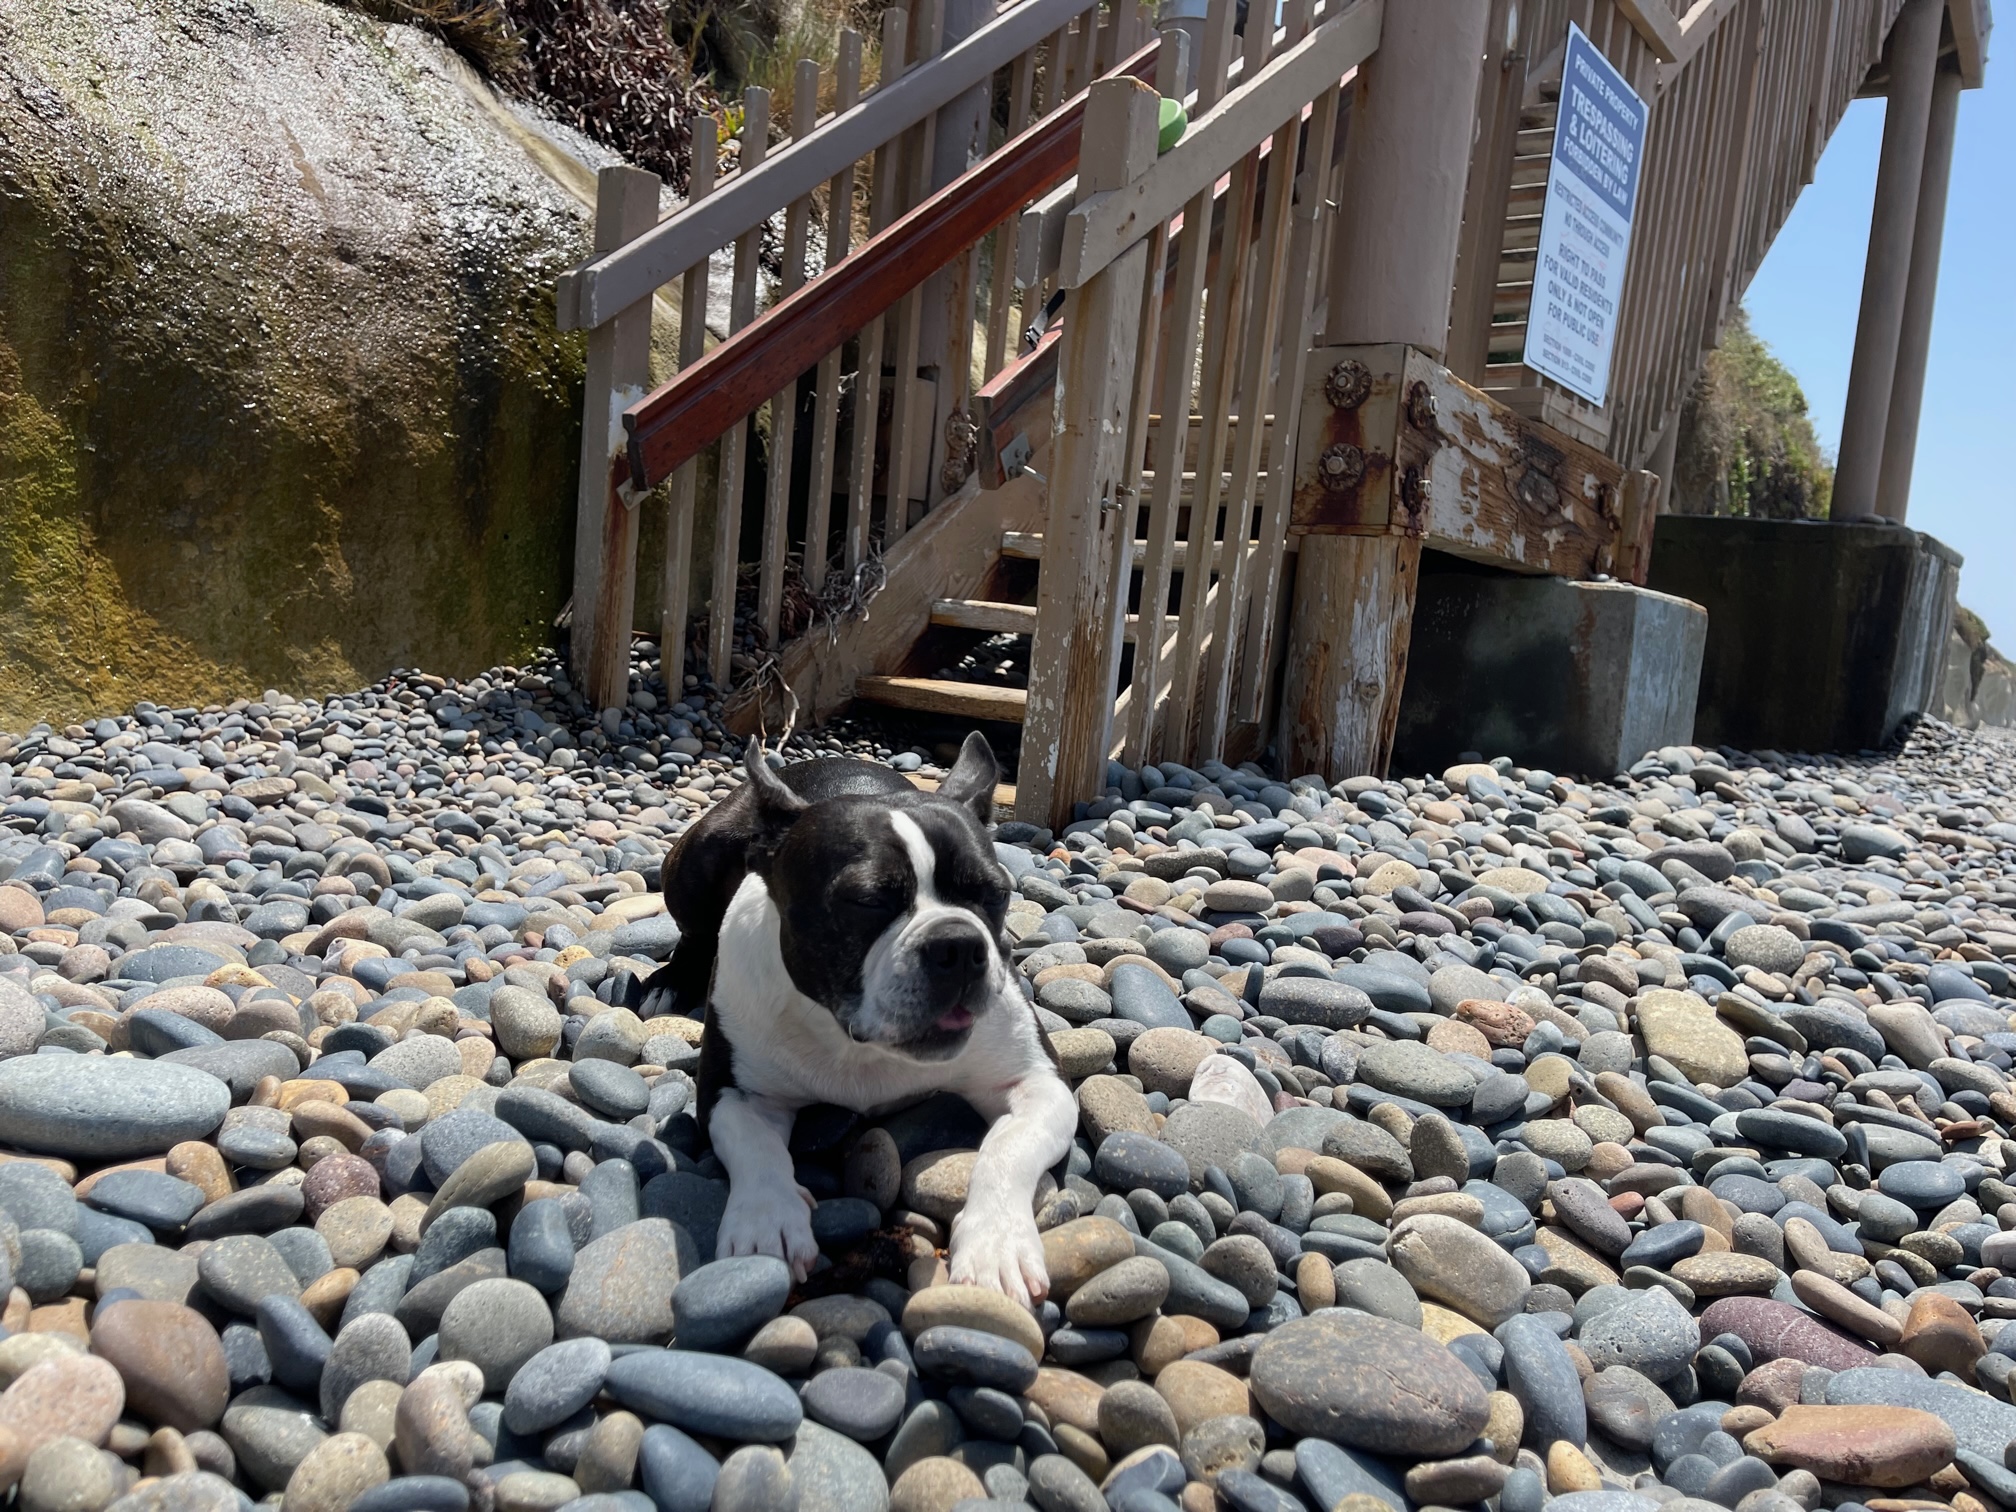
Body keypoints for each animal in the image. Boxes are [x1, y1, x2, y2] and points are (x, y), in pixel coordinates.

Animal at [649, 729, 1080, 1306]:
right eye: (868, 901)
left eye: (995, 894)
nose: (960, 944)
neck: (854, 1042)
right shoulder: (734, 1093)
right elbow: (756, 1149)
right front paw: (767, 1220)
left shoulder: (1037, 1083)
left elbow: (1007, 1151)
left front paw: (996, 1241)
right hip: (694, 863)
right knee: (693, 930)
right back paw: (668, 982)